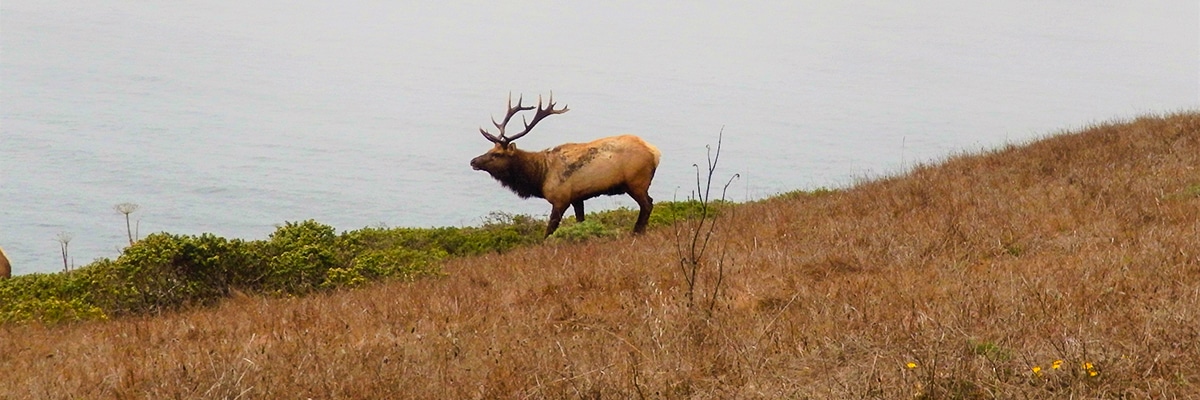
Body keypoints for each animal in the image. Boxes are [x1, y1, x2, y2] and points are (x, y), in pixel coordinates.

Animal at [468, 92, 662, 236]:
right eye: (489, 149)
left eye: (497, 154)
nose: (473, 161)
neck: (540, 177)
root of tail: (655, 152)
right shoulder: (577, 198)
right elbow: (580, 221)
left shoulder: (560, 199)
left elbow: (549, 230)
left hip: (636, 182)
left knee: (647, 205)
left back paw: (637, 232)